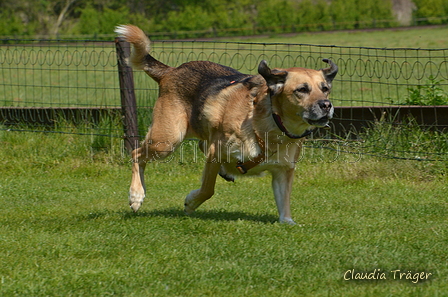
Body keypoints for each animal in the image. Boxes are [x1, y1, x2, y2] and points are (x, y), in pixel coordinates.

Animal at [115, 24, 336, 224]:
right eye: (302, 90)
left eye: (325, 88)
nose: (326, 105)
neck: (271, 126)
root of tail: (171, 71)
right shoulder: (216, 152)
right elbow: (207, 189)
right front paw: (191, 202)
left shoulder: (283, 171)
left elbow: (284, 205)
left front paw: (288, 222)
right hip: (166, 140)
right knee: (137, 154)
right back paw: (136, 194)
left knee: (199, 144)